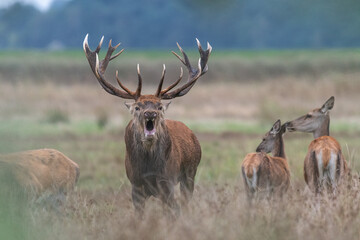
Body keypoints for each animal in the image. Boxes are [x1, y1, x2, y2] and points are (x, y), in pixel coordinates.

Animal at [83, 34, 211, 216]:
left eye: (159, 106)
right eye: (138, 107)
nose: (150, 114)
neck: (148, 168)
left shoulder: (167, 181)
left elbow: (171, 211)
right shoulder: (135, 184)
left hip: (190, 172)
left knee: (185, 203)